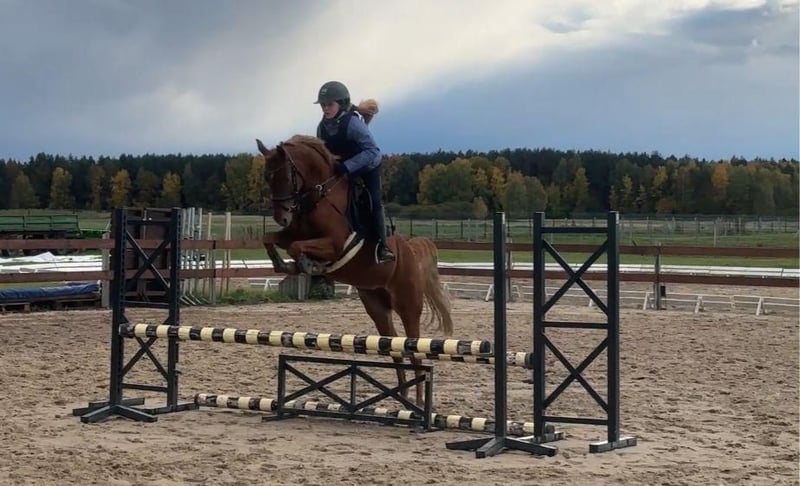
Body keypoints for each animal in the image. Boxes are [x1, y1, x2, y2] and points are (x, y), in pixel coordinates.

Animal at [255, 134, 454, 407]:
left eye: (286, 177)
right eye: (267, 177)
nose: (281, 217)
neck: (318, 196)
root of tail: (411, 252)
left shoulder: (335, 244)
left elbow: (297, 247)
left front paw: (307, 265)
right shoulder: (291, 234)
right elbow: (270, 238)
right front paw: (285, 265)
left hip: (408, 305)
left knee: (415, 351)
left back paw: (418, 403)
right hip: (376, 306)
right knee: (394, 347)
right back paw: (402, 398)